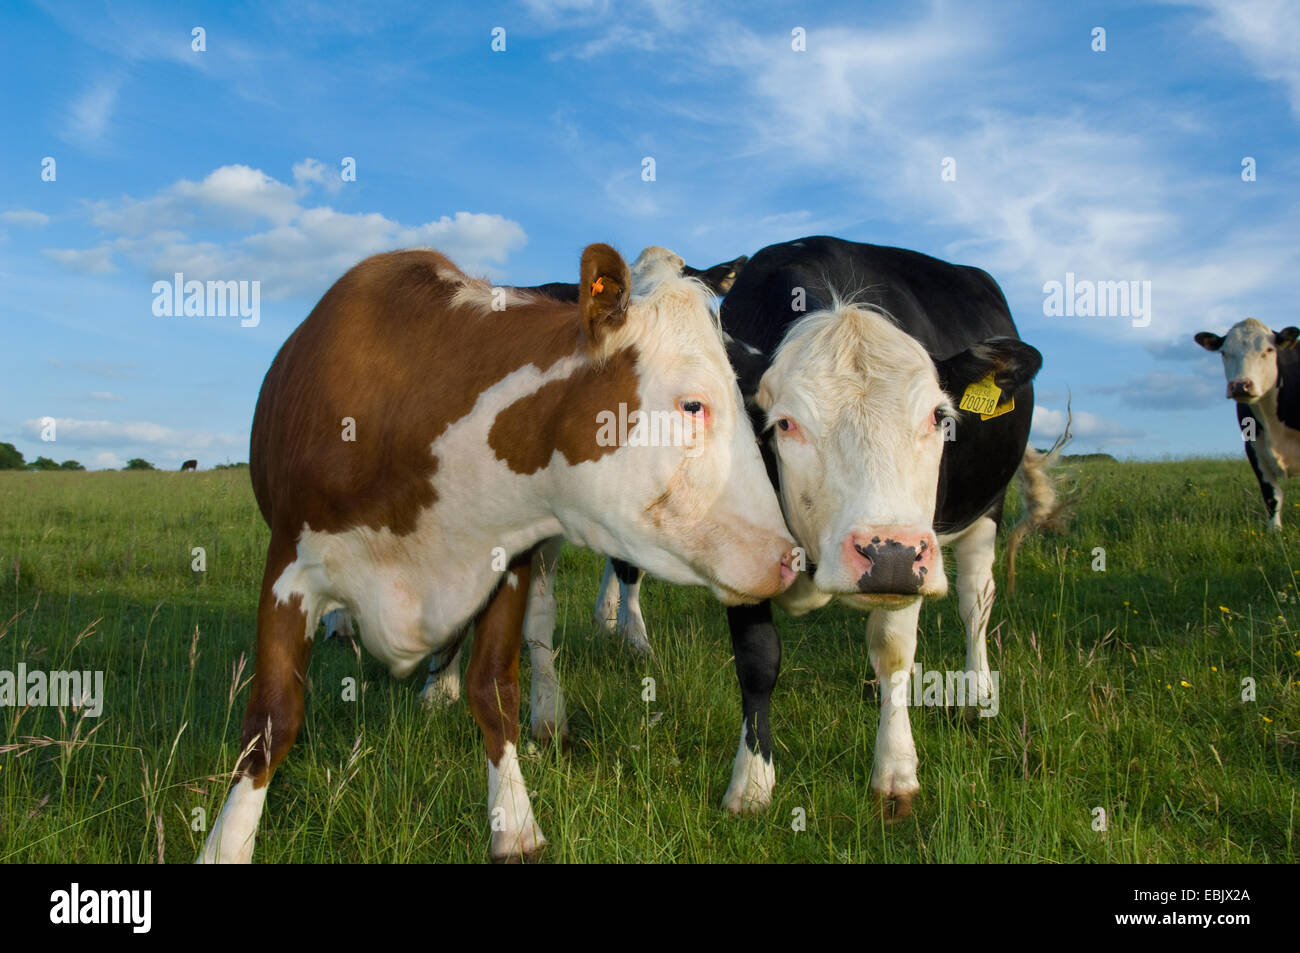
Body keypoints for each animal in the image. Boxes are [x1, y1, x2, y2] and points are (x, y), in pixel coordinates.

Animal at [197, 241, 795, 858]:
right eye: (694, 405)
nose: (788, 557)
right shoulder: (288, 567)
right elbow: (272, 719)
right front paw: (226, 842)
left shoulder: (508, 560)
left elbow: (496, 689)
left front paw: (514, 821)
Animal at [517, 234, 1055, 816]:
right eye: (785, 424)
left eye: (938, 416)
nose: (886, 554)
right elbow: (758, 660)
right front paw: (752, 783)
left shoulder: (912, 549)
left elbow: (894, 650)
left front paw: (895, 774)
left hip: (985, 511)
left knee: (976, 602)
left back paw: (977, 695)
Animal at [1196, 317, 1300, 527]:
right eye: (1224, 352)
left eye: (1269, 350)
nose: (1240, 385)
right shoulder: (1253, 447)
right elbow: (1272, 495)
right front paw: (1274, 530)